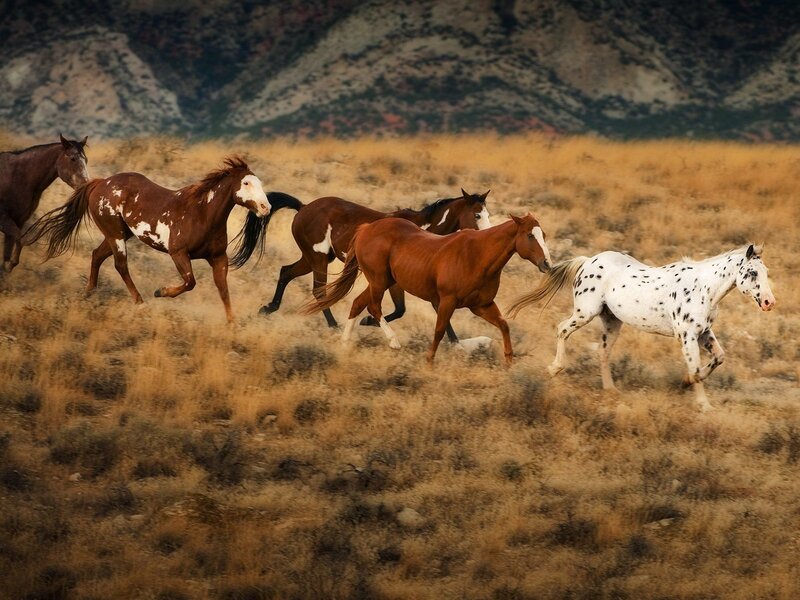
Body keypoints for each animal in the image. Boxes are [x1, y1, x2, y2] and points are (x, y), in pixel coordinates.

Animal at [0, 134, 89, 275]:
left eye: (86, 160)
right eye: (73, 159)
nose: (86, 185)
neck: (18, 176)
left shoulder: (18, 221)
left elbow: (8, 252)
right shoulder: (4, 219)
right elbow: (20, 239)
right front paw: (12, 264)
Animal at [25, 157, 270, 322]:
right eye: (246, 183)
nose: (266, 207)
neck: (202, 213)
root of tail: (100, 183)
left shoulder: (218, 258)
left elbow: (223, 289)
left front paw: (232, 324)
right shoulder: (178, 253)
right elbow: (190, 282)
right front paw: (160, 292)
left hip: (119, 234)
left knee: (97, 255)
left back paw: (88, 293)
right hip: (115, 234)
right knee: (120, 265)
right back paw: (140, 302)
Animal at [229, 188, 491, 336]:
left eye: (487, 213)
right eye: (477, 214)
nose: (487, 236)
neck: (421, 230)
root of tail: (303, 207)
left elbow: (427, 311)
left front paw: (455, 343)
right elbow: (400, 310)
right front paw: (367, 321)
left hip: (313, 257)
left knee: (285, 272)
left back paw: (268, 308)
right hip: (318, 259)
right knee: (318, 290)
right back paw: (333, 325)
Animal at [303, 214, 551, 365]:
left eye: (544, 235)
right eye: (530, 235)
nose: (547, 264)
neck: (477, 255)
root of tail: (366, 228)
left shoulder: (481, 305)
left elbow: (504, 325)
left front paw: (509, 360)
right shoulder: (447, 301)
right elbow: (440, 330)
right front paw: (429, 361)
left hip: (383, 282)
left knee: (357, 304)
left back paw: (346, 343)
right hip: (379, 281)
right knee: (373, 307)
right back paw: (393, 342)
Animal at [507, 244, 776, 410]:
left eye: (766, 272)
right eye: (752, 273)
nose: (769, 302)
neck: (703, 288)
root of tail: (587, 261)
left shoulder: (703, 333)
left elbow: (718, 358)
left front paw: (685, 382)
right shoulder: (687, 336)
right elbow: (697, 370)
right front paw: (702, 403)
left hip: (612, 322)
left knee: (602, 352)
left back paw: (610, 389)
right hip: (585, 313)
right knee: (562, 329)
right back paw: (554, 369)